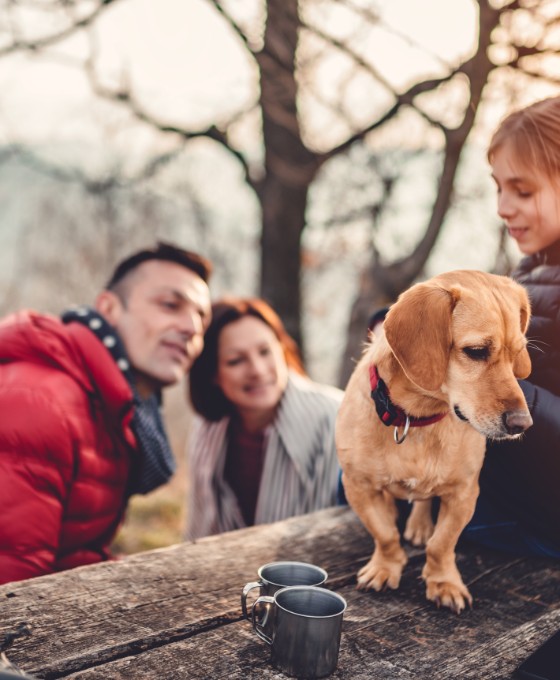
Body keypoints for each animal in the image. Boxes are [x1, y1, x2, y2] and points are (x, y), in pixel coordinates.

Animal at [336, 272, 532, 616]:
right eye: (476, 351)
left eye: (517, 352)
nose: (523, 424)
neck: (417, 418)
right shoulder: (357, 486)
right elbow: (385, 534)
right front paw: (385, 567)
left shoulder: (464, 494)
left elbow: (442, 544)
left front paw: (443, 582)